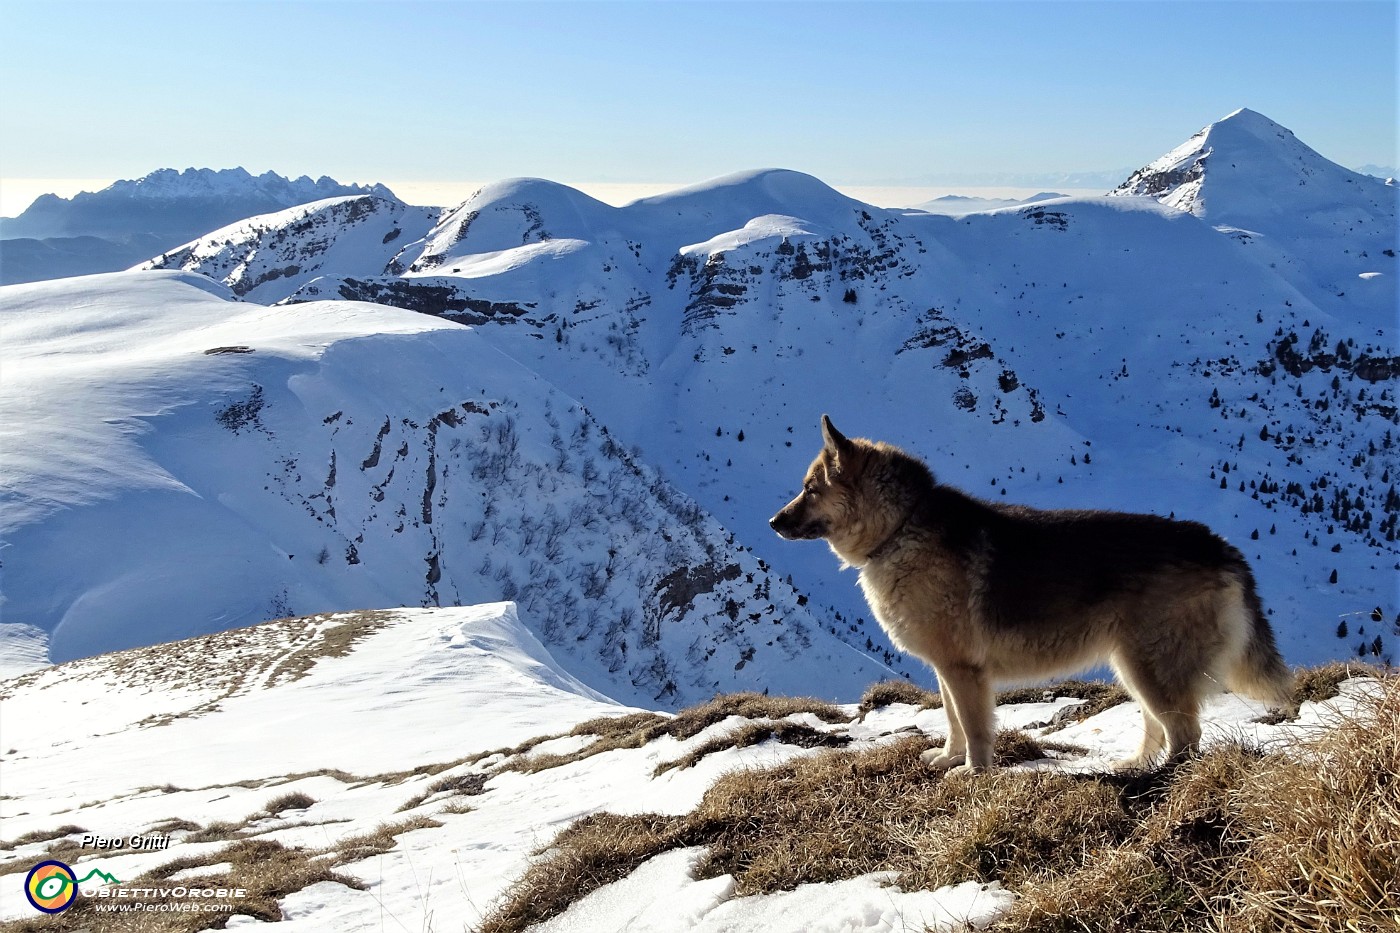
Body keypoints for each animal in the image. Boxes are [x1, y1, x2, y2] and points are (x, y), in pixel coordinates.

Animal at [772, 414, 1293, 767]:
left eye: (810, 489)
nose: (773, 522)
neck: (900, 528)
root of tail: (1222, 548)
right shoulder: (947, 669)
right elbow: (953, 721)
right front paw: (948, 760)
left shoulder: (963, 670)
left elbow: (975, 728)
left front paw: (972, 775)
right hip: (1132, 665)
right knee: (1159, 727)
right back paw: (1135, 767)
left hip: (1150, 667)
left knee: (1185, 733)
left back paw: (1162, 779)